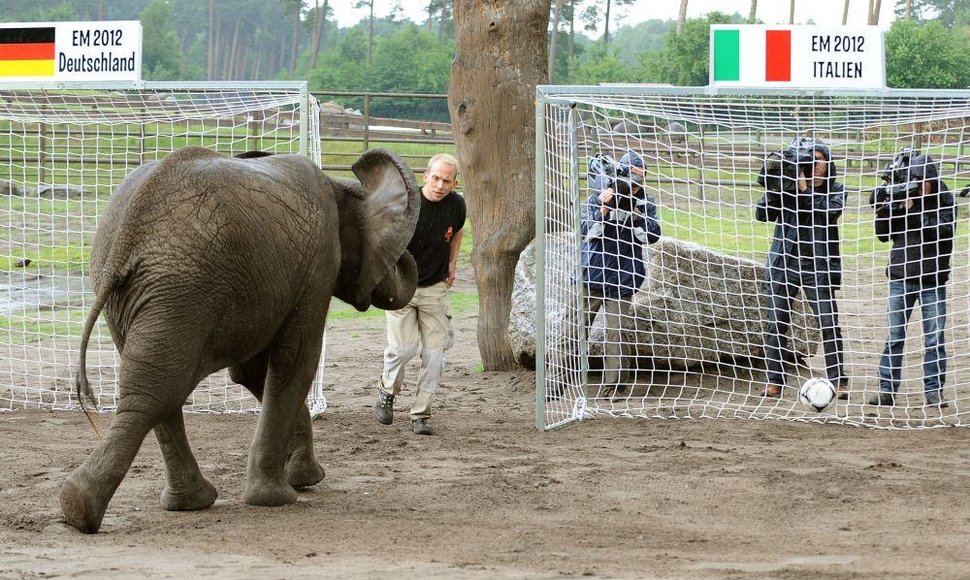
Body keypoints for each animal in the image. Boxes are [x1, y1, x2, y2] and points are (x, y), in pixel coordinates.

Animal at [60, 146, 420, 536]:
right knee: (158, 391)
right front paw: (280, 496)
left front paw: (305, 479)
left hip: (140, 292)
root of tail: (127, 235)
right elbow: (296, 361)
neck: (340, 186)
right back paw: (86, 509)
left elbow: (253, 372)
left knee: (157, 386)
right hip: (185, 289)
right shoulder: (319, 264)